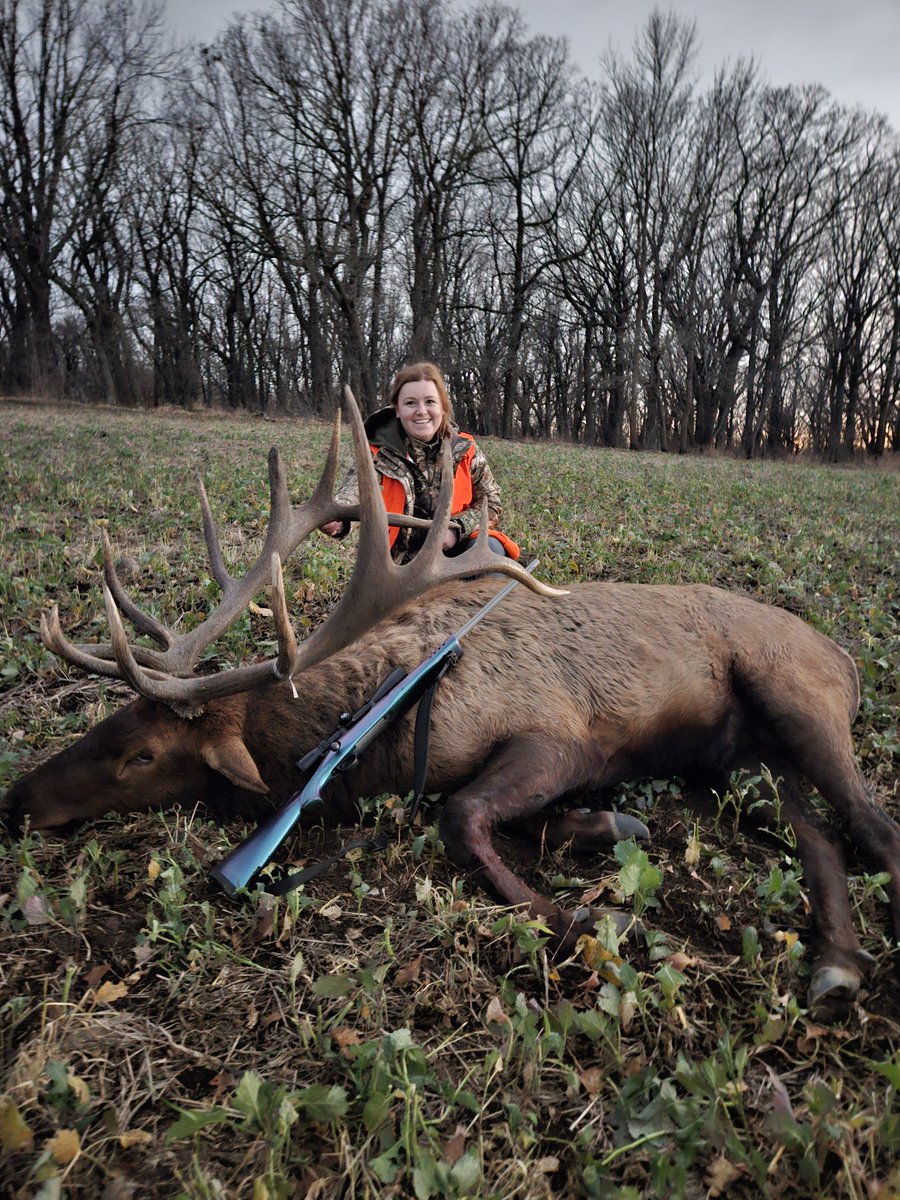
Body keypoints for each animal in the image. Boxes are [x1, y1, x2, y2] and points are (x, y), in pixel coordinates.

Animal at [3, 389, 898, 1023]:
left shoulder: (559, 735)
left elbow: (461, 818)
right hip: (738, 765)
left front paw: (611, 924)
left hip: (795, 698)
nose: (18, 799)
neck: (383, 736)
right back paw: (837, 964)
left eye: (143, 755)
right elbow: (511, 821)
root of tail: (848, 660)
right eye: (108, 723)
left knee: (870, 822)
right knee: (821, 837)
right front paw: (607, 830)